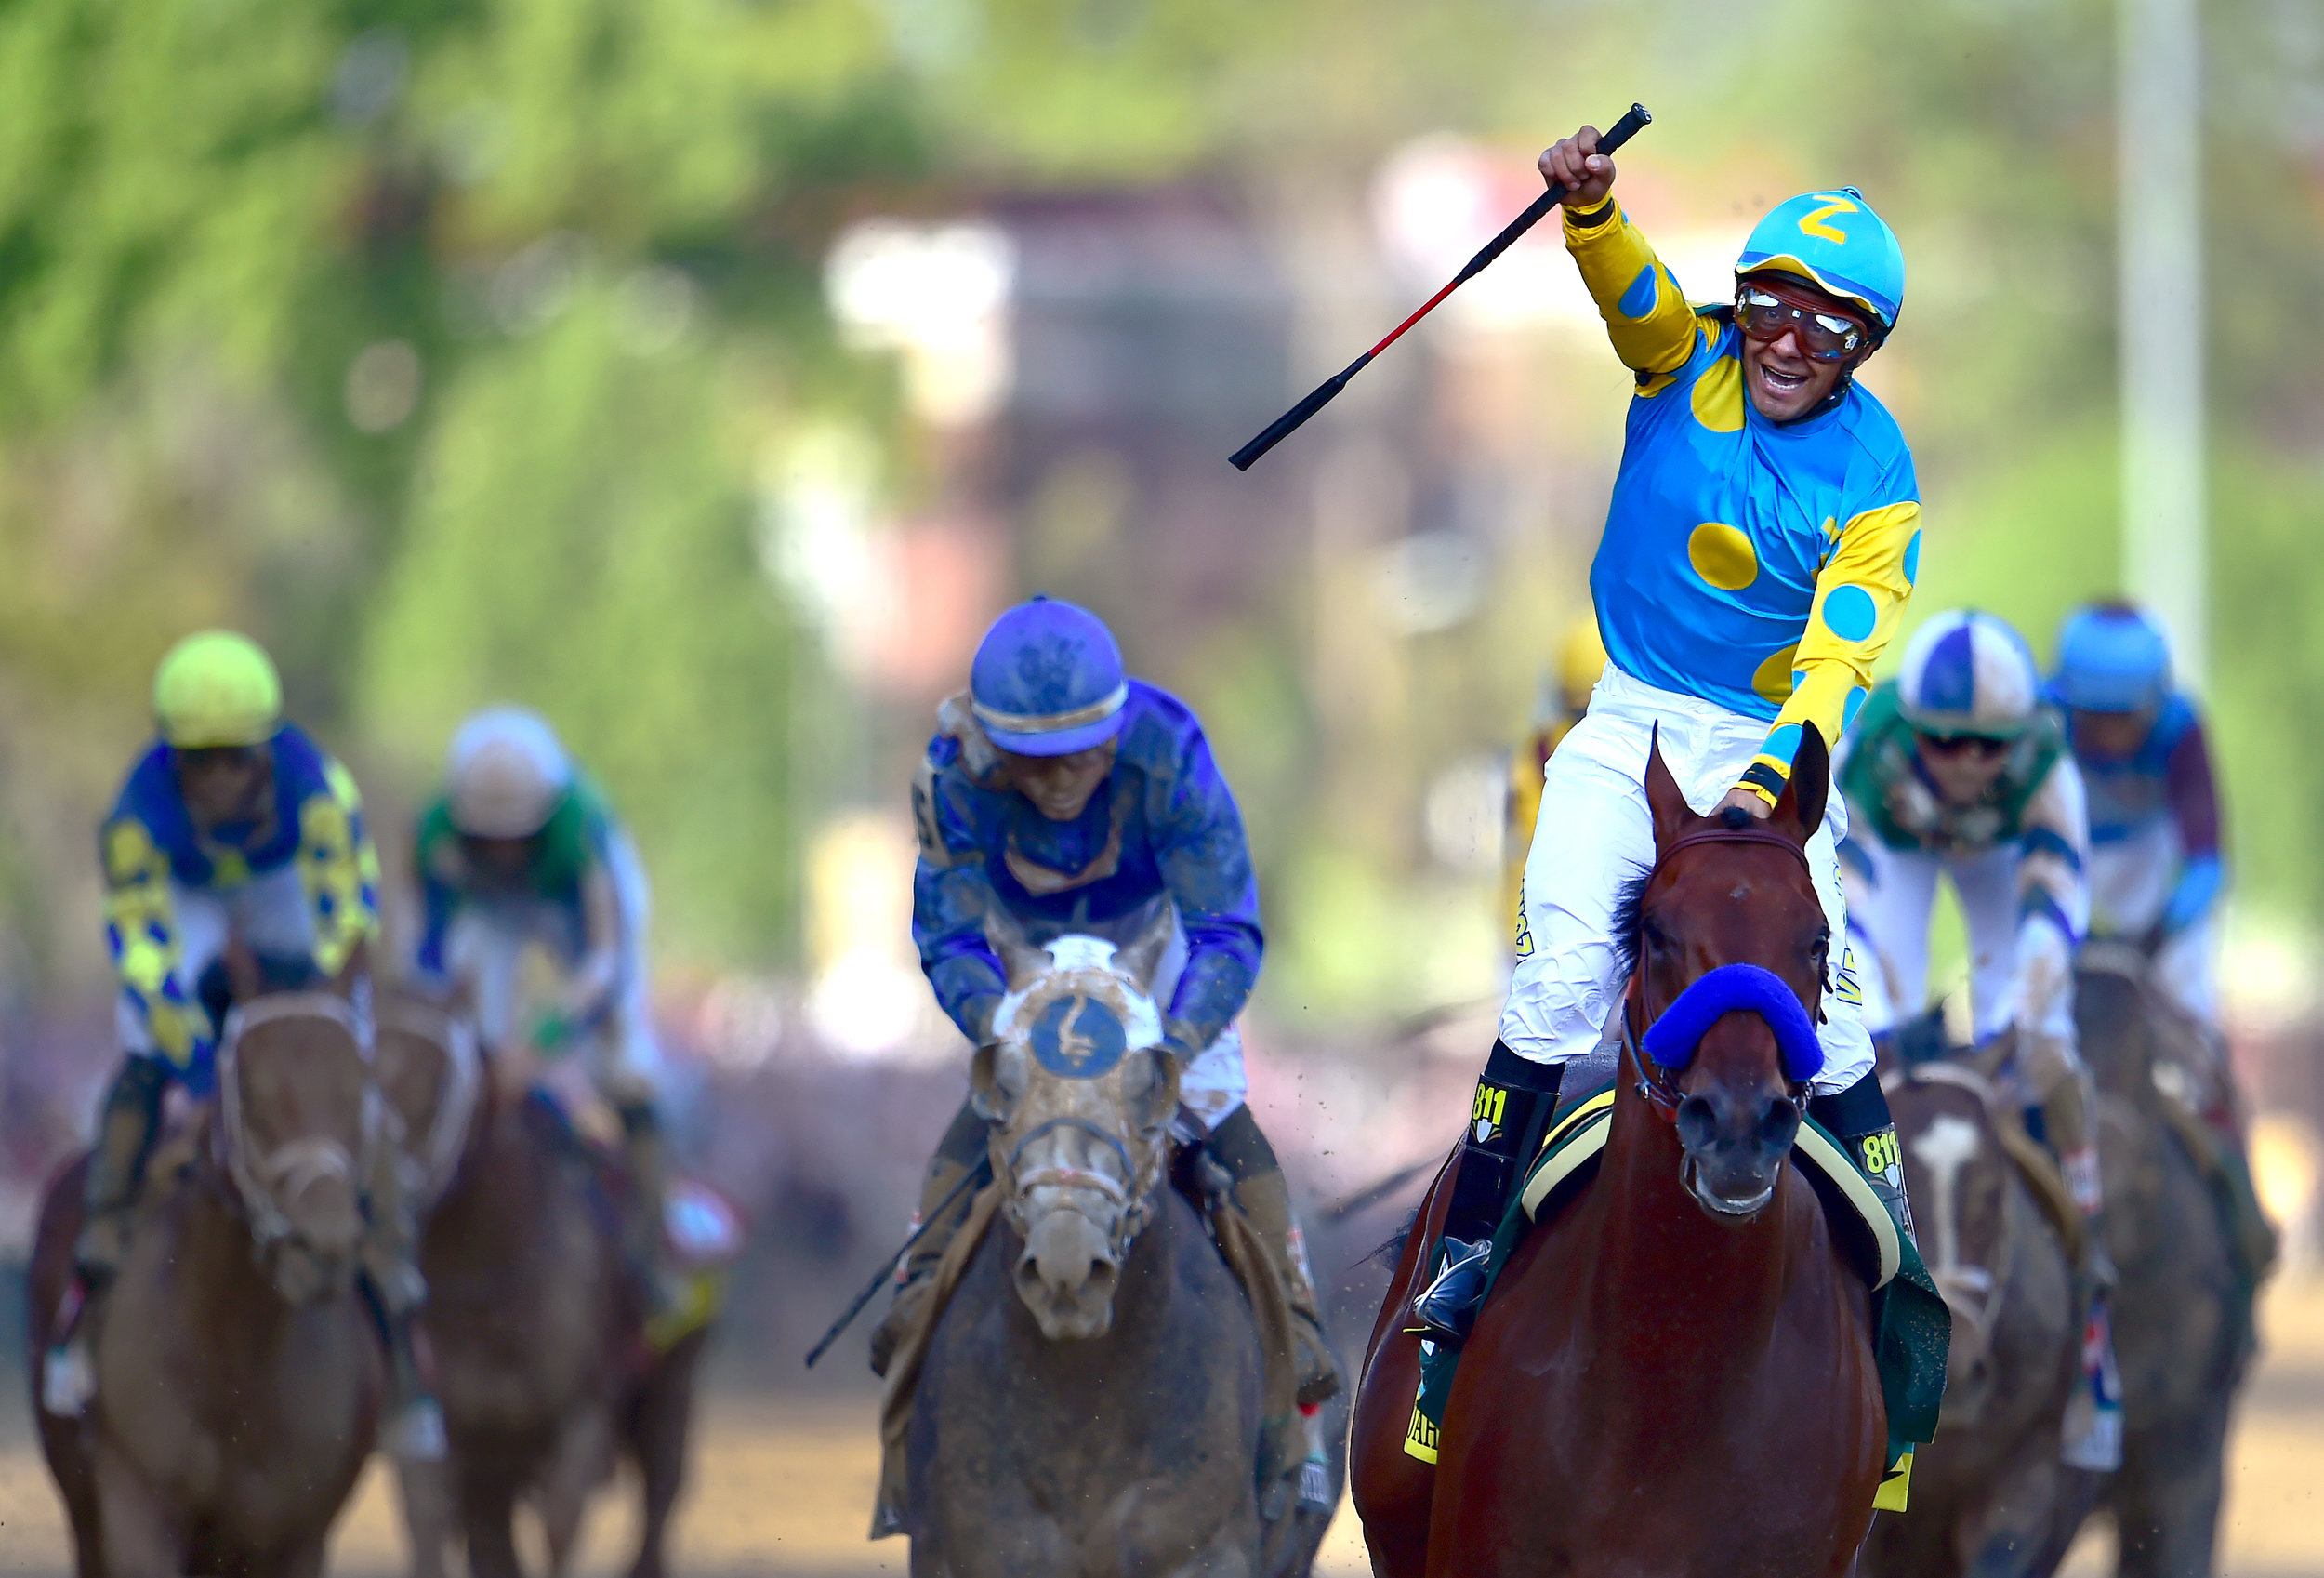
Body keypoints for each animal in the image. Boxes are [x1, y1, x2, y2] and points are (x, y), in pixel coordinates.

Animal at [367, 985, 697, 1578]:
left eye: (440, 1077)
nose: (378, 1190)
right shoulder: (439, 1431)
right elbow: (428, 1525)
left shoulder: (582, 1418)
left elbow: (561, 1526)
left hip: (672, 1387)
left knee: (659, 1505)